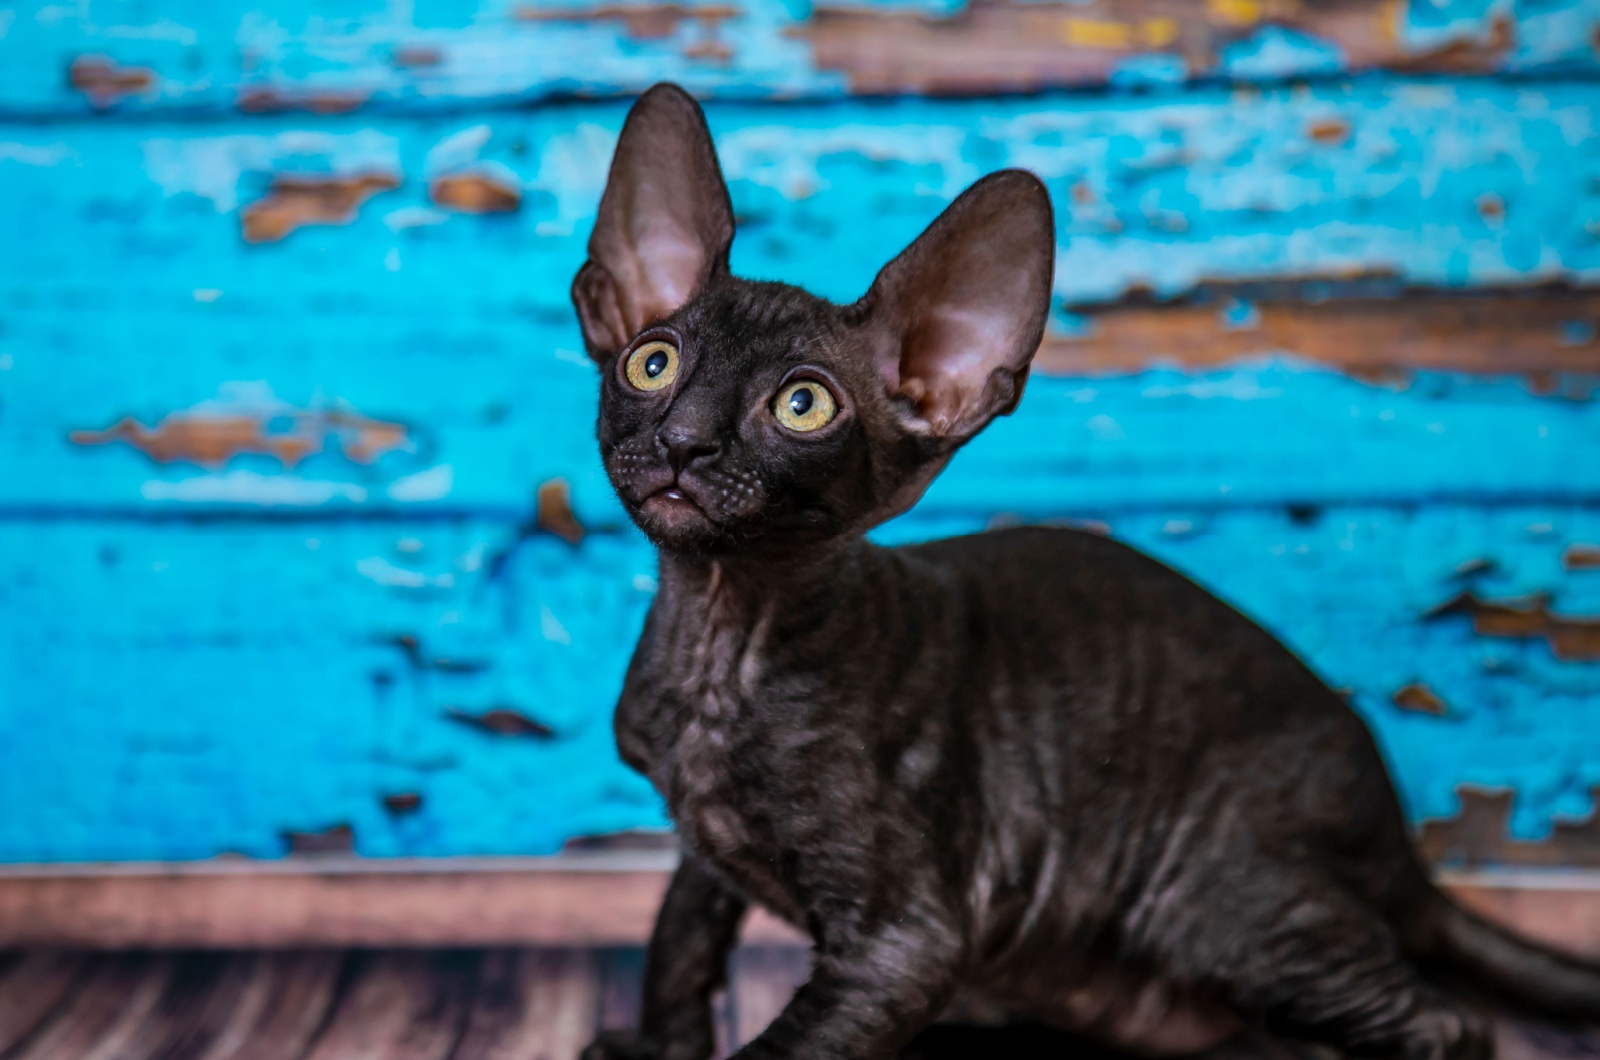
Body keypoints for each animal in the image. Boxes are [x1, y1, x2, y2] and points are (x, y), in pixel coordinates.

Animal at [569, 85, 1593, 1060]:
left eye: (803, 406)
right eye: (652, 362)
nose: (683, 440)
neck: (720, 636)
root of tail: (1401, 846)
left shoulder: (905, 943)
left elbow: (785, 1037)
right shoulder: (705, 852)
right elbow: (678, 943)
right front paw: (656, 1046)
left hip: (1219, 900)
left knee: (1448, 1024)